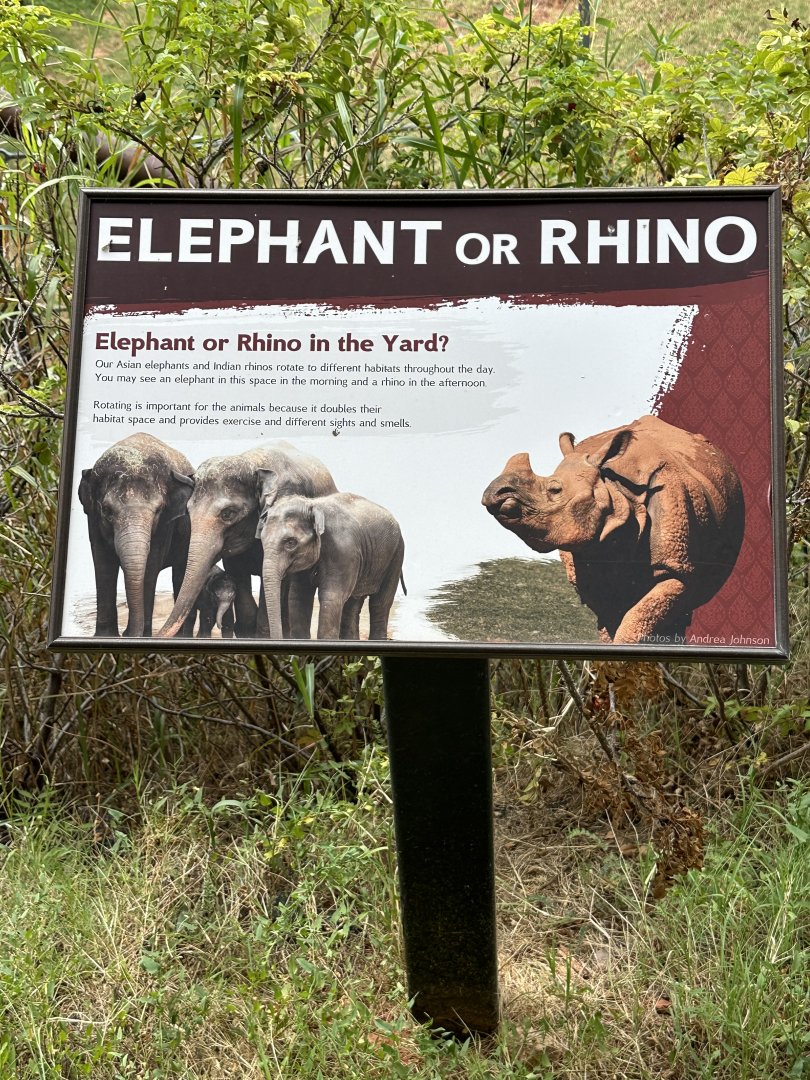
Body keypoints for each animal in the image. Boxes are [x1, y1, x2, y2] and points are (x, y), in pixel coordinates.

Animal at [78, 432, 195, 637]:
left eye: (158, 510)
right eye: (106, 510)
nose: (126, 633)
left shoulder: (165, 524)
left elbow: (151, 564)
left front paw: (140, 635)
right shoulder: (92, 518)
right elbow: (103, 562)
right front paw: (106, 636)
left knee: (181, 571)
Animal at [256, 492, 405, 641]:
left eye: (291, 542)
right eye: (262, 539)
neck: (312, 505)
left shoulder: (343, 551)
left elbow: (331, 597)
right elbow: (299, 596)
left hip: (396, 555)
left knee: (380, 604)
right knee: (353, 603)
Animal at [481, 414, 745, 645]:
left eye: (555, 490)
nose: (494, 494)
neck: (616, 491)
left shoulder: (676, 569)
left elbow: (638, 618)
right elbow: (612, 620)